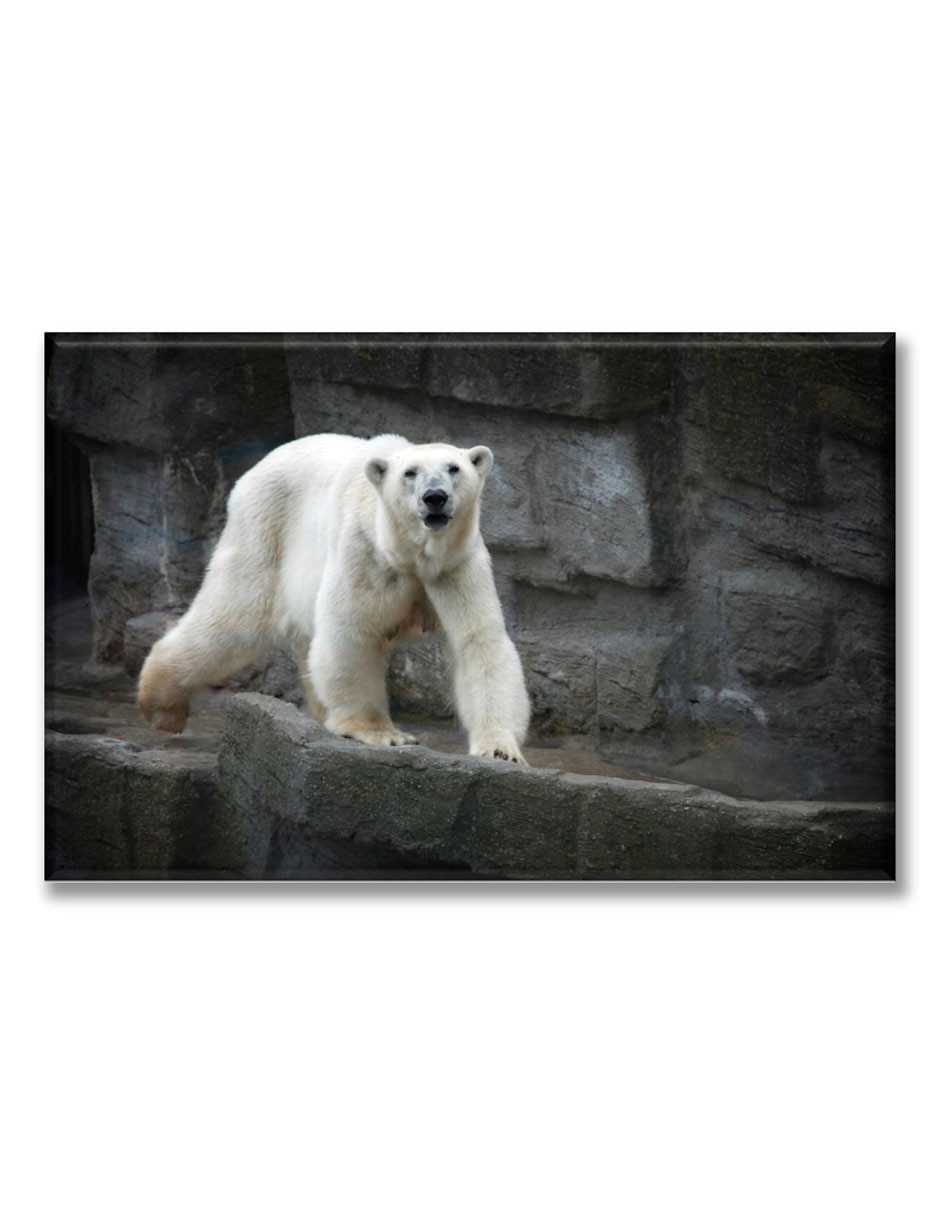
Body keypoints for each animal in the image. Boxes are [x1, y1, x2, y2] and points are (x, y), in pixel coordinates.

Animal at [137, 432, 531, 763]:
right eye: (410, 473)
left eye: (454, 468)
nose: (435, 497)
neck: (409, 554)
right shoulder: (364, 553)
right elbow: (351, 633)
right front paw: (384, 734)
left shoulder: (456, 566)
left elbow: (479, 642)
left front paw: (500, 750)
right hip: (264, 533)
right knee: (234, 618)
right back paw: (163, 707)